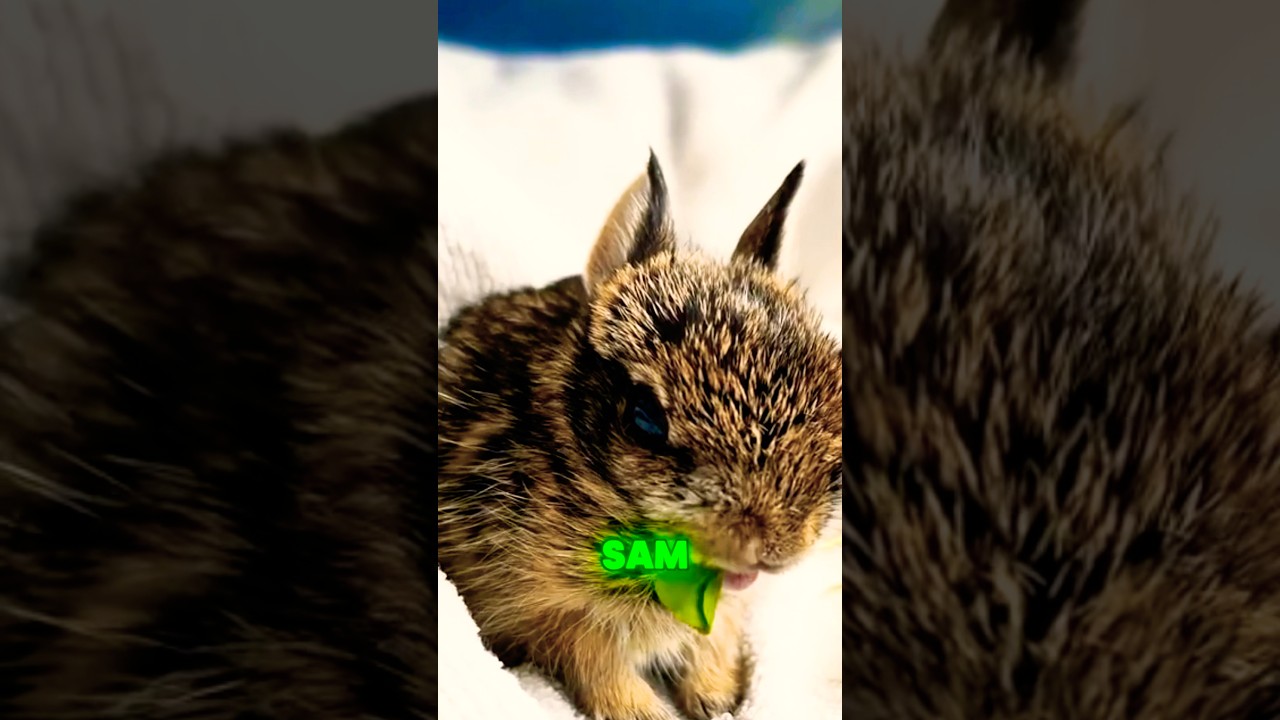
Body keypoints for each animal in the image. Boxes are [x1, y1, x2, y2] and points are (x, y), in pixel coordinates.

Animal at [437, 153, 842, 720]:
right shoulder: (532, 611)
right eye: (645, 419)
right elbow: (590, 655)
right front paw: (644, 711)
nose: (773, 546)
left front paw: (716, 696)